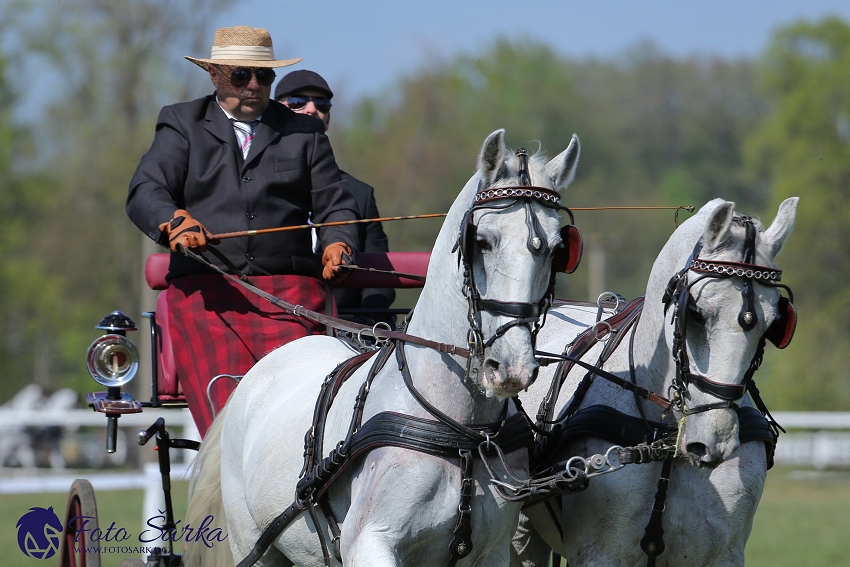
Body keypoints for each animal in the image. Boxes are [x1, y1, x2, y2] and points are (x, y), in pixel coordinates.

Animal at [184, 129, 584, 567]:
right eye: (481, 241)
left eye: (557, 249)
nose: (510, 366)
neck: (461, 434)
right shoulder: (370, 543)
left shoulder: (492, 551)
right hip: (254, 545)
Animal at [512, 197, 800, 564]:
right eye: (695, 313)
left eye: (775, 324)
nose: (713, 440)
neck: (667, 443)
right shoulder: (599, 555)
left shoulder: (724, 554)